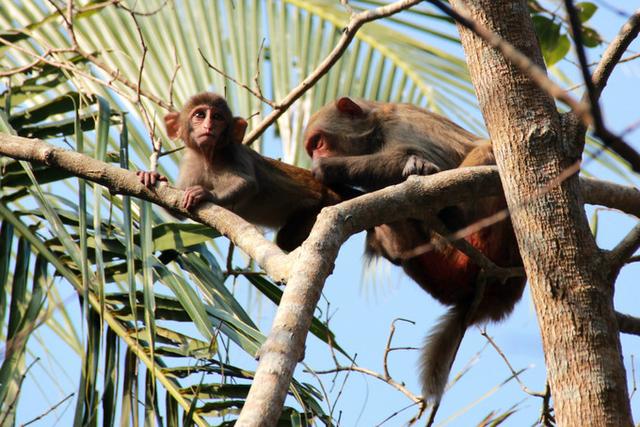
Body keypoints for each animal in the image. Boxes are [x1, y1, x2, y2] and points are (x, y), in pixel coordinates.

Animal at [138, 93, 342, 251]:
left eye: (217, 117)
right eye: (200, 115)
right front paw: (153, 176)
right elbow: (177, 209)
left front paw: (206, 194)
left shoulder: (233, 152)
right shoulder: (191, 163)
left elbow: (247, 183)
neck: (208, 157)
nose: (208, 126)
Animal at [302, 98, 524, 404]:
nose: (315, 157)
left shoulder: (402, 125)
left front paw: (328, 168)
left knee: (484, 151)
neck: (376, 127)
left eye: (318, 143)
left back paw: (447, 214)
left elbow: (425, 161)